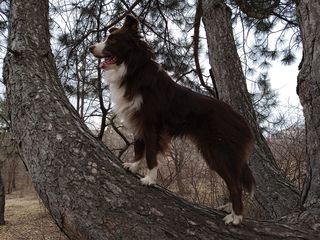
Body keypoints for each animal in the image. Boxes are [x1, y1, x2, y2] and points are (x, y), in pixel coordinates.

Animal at [89, 15, 255, 225]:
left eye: (112, 41)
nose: (90, 47)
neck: (133, 69)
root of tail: (242, 122)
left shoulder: (151, 123)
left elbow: (151, 153)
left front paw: (150, 179)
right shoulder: (138, 120)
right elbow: (138, 146)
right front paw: (133, 166)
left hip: (218, 150)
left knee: (235, 184)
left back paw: (236, 217)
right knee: (233, 181)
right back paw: (229, 208)